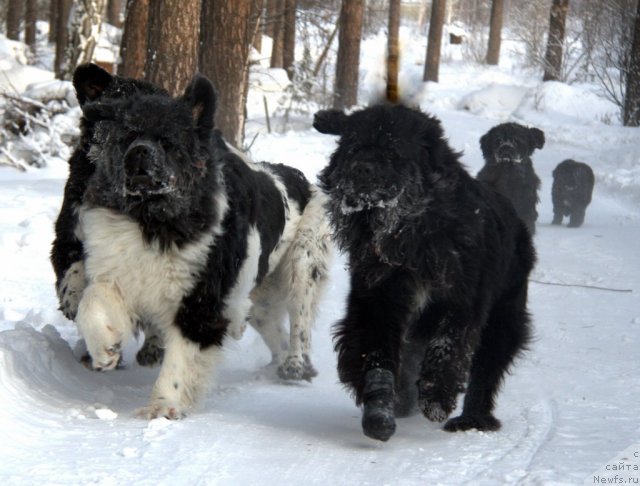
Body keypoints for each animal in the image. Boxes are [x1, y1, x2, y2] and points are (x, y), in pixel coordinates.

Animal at [50, 64, 330, 420]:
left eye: (168, 140)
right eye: (124, 131)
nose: (139, 152)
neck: (151, 220)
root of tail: (298, 179)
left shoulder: (201, 297)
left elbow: (182, 355)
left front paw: (162, 406)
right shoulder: (115, 266)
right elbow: (92, 299)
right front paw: (105, 348)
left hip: (303, 261)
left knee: (300, 320)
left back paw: (295, 366)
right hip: (260, 301)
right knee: (274, 331)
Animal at [314, 104, 536, 442]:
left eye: (392, 151)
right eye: (353, 146)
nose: (362, 169)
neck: (410, 233)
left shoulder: (463, 299)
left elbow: (448, 346)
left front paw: (436, 397)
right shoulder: (376, 298)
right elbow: (375, 351)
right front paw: (380, 409)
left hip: (504, 317)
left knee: (486, 369)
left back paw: (471, 419)